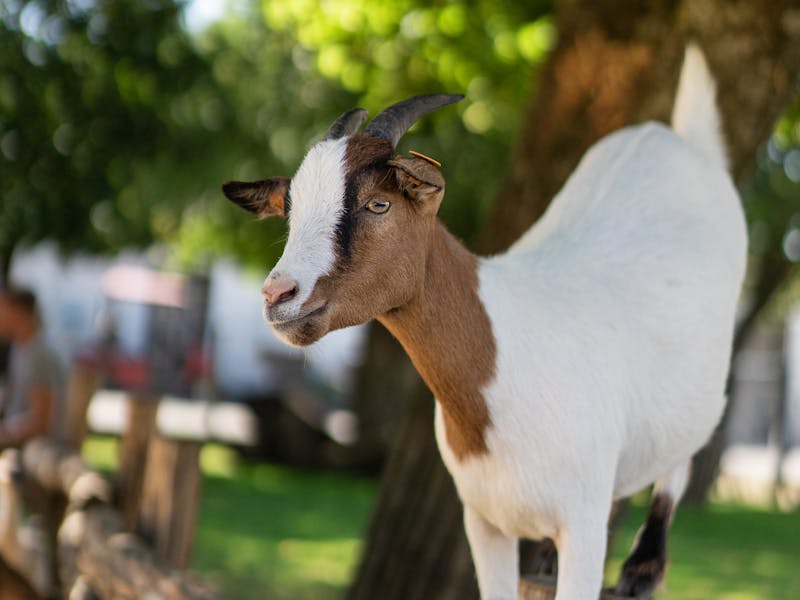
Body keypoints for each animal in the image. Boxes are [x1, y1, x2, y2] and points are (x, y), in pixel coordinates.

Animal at [222, 45, 746, 599]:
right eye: (289, 213)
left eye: (379, 203)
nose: (278, 295)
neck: (504, 367)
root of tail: (681, 139)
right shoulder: (484, 523)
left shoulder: (581, 526)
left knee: (686, 450)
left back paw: (643, 568)